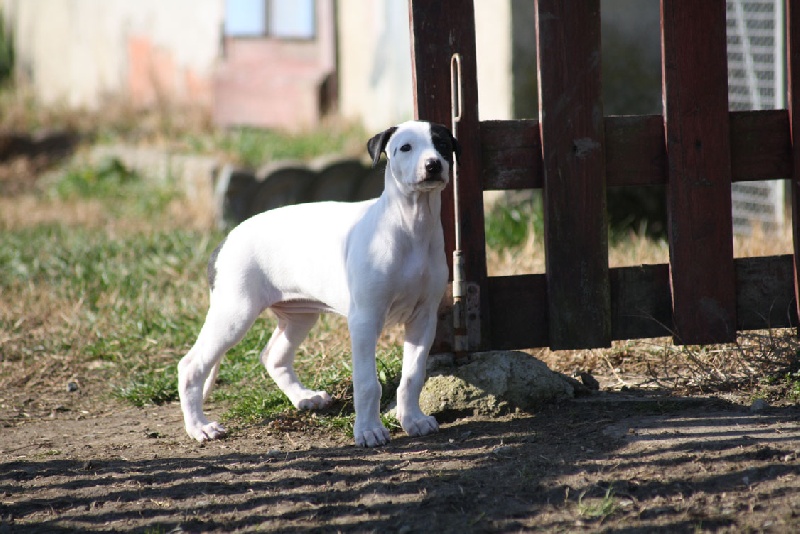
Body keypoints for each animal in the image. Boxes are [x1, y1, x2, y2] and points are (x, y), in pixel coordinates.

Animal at [178, 120, 460, 448]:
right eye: (405, 147)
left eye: (442, 144)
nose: (433, 165)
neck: (411, 225)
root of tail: (225, 240)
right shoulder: (365, 319)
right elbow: (367, 383)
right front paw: (368, 431)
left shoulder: (423, 318)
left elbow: (413, 375)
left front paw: (412, 420)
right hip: (235, 314)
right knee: (191, 365)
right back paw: (199, 427)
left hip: (299, 315)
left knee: (273, 356)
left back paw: (304, 398)